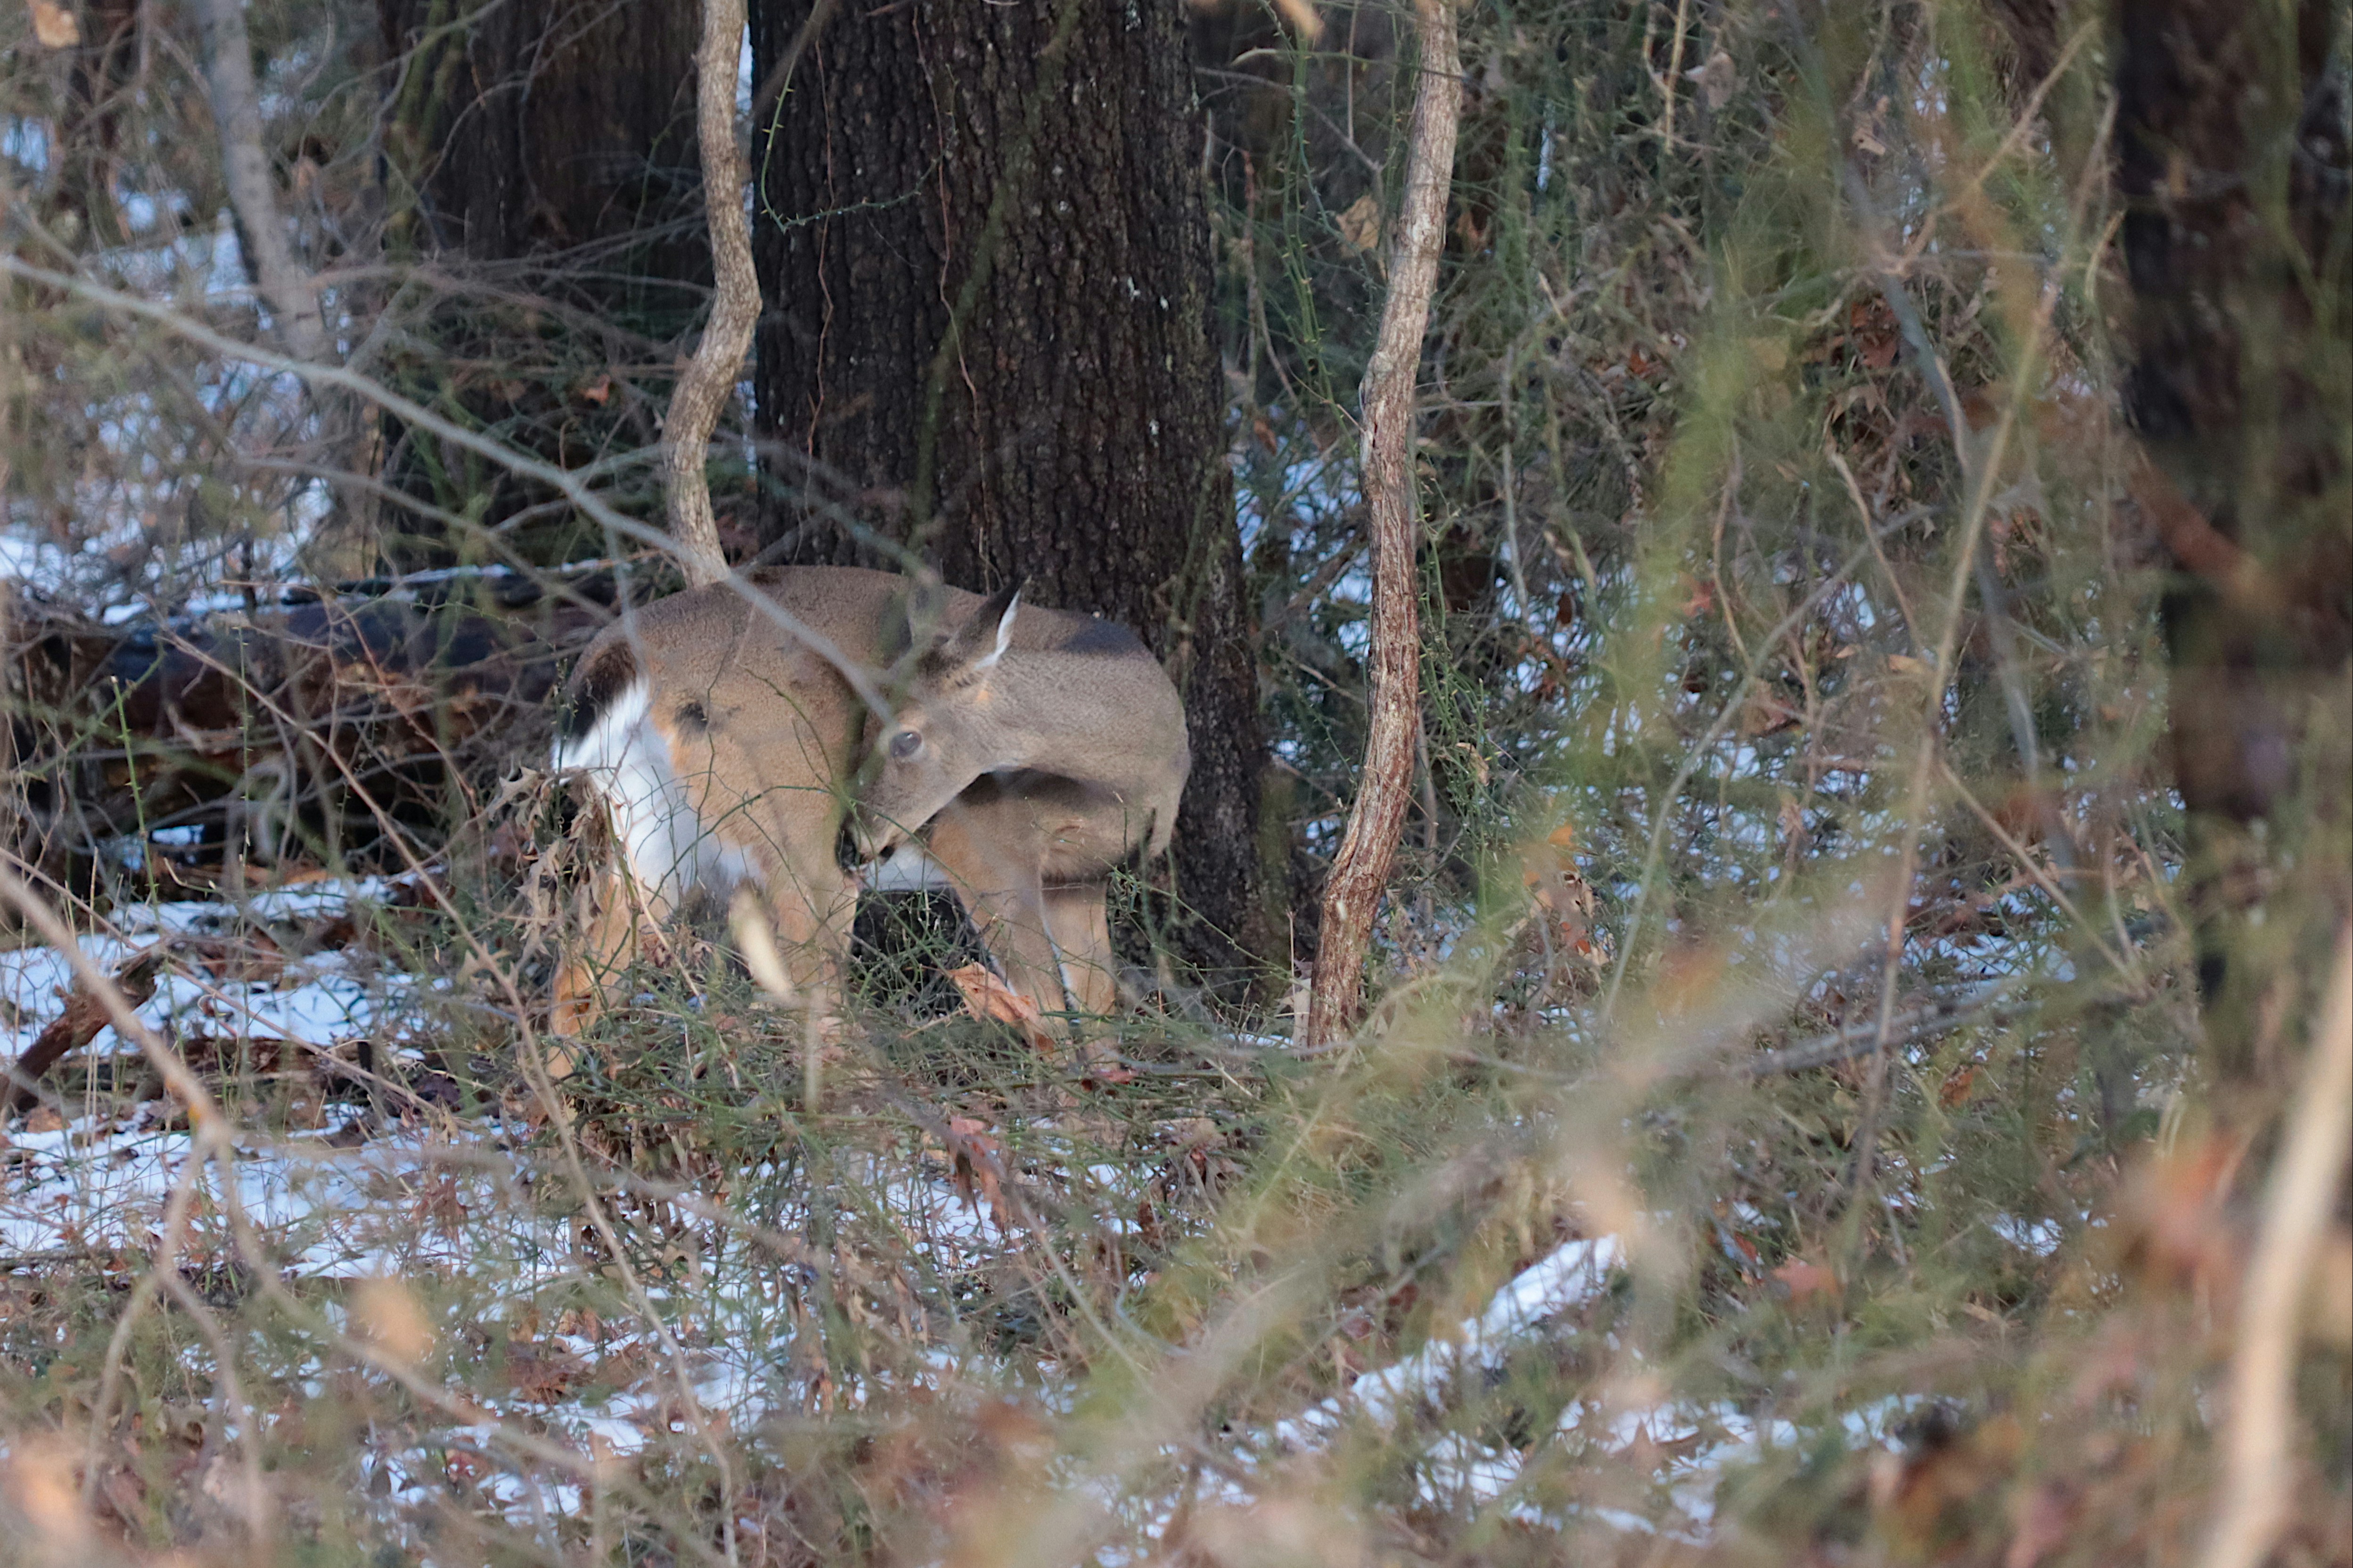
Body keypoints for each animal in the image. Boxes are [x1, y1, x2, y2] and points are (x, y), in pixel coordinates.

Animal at [547, 566, 1190, 1047]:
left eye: (904, 737)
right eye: (865, 724)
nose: (857, 837)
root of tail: (618, 655)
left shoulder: (1080, 878)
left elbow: (1099, 1014)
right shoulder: (986, 845)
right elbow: (1047, 1016)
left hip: (651, 830)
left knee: (578, 978)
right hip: (794, 828)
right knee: (808, 992)